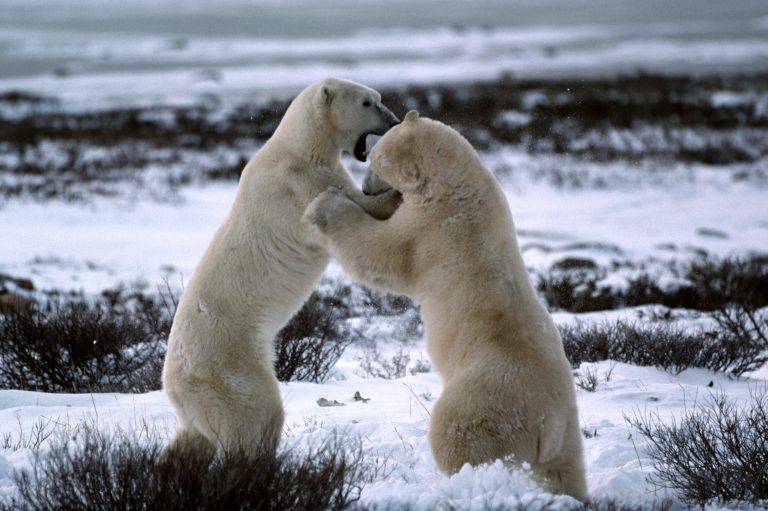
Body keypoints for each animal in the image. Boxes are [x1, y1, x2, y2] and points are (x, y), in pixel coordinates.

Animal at [163, 79, 402, 456]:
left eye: (378, 98)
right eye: (367, 102)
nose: (393, 121)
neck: (299, 147)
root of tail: (172, 384)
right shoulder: (299, 183)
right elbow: (348, 207)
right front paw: (394, 193)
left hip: (197, 399)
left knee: (191, 438)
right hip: (230, 366)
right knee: (254, 414)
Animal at [304, 111, 588, 500]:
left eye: (376, 162)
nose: (366, 187)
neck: (460, 184)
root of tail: (551, 423)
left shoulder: (429, 228)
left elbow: (381, 254)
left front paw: (325, 205)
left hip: (484, 399)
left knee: (457, 435)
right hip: (569, 430)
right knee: (564, 469)